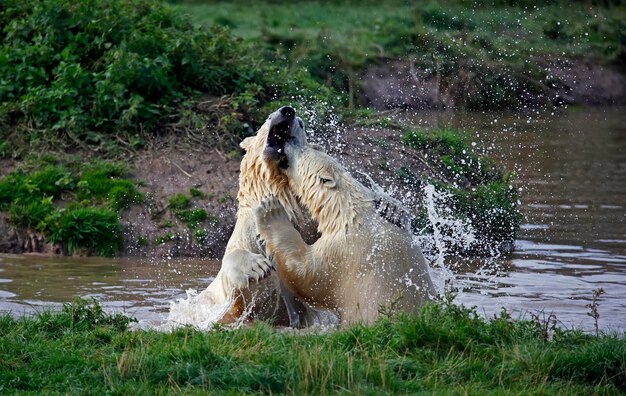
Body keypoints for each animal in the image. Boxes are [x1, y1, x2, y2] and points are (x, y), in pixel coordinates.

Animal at [254, 131, 434, 324]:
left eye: (303, 149)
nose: (286, 140)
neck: (350, 212)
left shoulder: (343, 252)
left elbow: (306, 273)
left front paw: (270, 210)